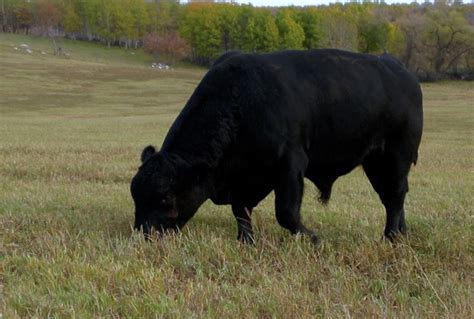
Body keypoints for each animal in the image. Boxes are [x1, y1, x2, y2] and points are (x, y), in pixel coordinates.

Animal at [130, 49, 422, 245]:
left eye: (166, 197)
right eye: (135, 195)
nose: (144, 233)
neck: (242, 101)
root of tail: (402, 72)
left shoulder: (290, 166)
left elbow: (286, 213)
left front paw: (315, 239)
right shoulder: (245, 178)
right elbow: (241, 210)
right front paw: (245, 241)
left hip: (395, 156)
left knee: (394, 196)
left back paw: (390, 237)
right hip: (377, 163)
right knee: (394, 196)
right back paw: (402, 233)